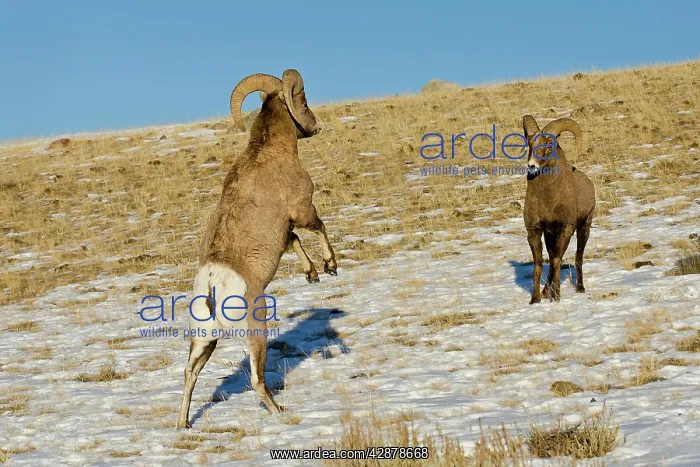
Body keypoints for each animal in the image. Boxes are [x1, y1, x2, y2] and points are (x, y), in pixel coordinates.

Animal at [176, 69, 338, 429]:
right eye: (304, 100)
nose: (315, 126)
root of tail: (213, 282)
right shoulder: (302, 209)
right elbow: (318, 227)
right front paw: (330, 267)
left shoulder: (284, 233)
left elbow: (295, 241)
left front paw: (312, 274)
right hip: (256, 332)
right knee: (256, 378)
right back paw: (279, 411)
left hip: (204, 340)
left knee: (189, 373)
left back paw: (183, 425)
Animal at [521, 115, 595, 304]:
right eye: (530, 144)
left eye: (549, 147)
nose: (531, 166)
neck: (548, 199)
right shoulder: (535, 231)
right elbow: (539, 264)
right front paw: (535, 300)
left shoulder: (566, 229)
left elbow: (556, 261)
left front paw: (556, 298)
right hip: (550, 236)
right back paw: (545, 292)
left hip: (584, 228)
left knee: (578, 256)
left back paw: (580, 288)